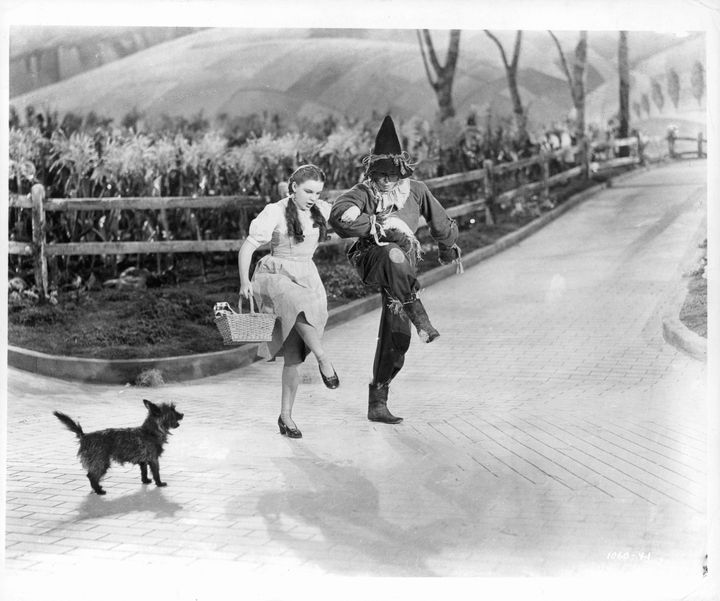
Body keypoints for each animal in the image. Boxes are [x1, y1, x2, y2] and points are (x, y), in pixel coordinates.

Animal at [53, 398, 183, 492]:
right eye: (172, 411)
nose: (182, 414)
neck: (150, 431)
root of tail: (84, 436)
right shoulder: (154, 459)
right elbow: (156, 472)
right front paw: (160, 483)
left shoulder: (143, 460)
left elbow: (144, 471)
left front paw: (145, 481)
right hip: (101, 462)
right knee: (91, 476)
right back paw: (99, 491)